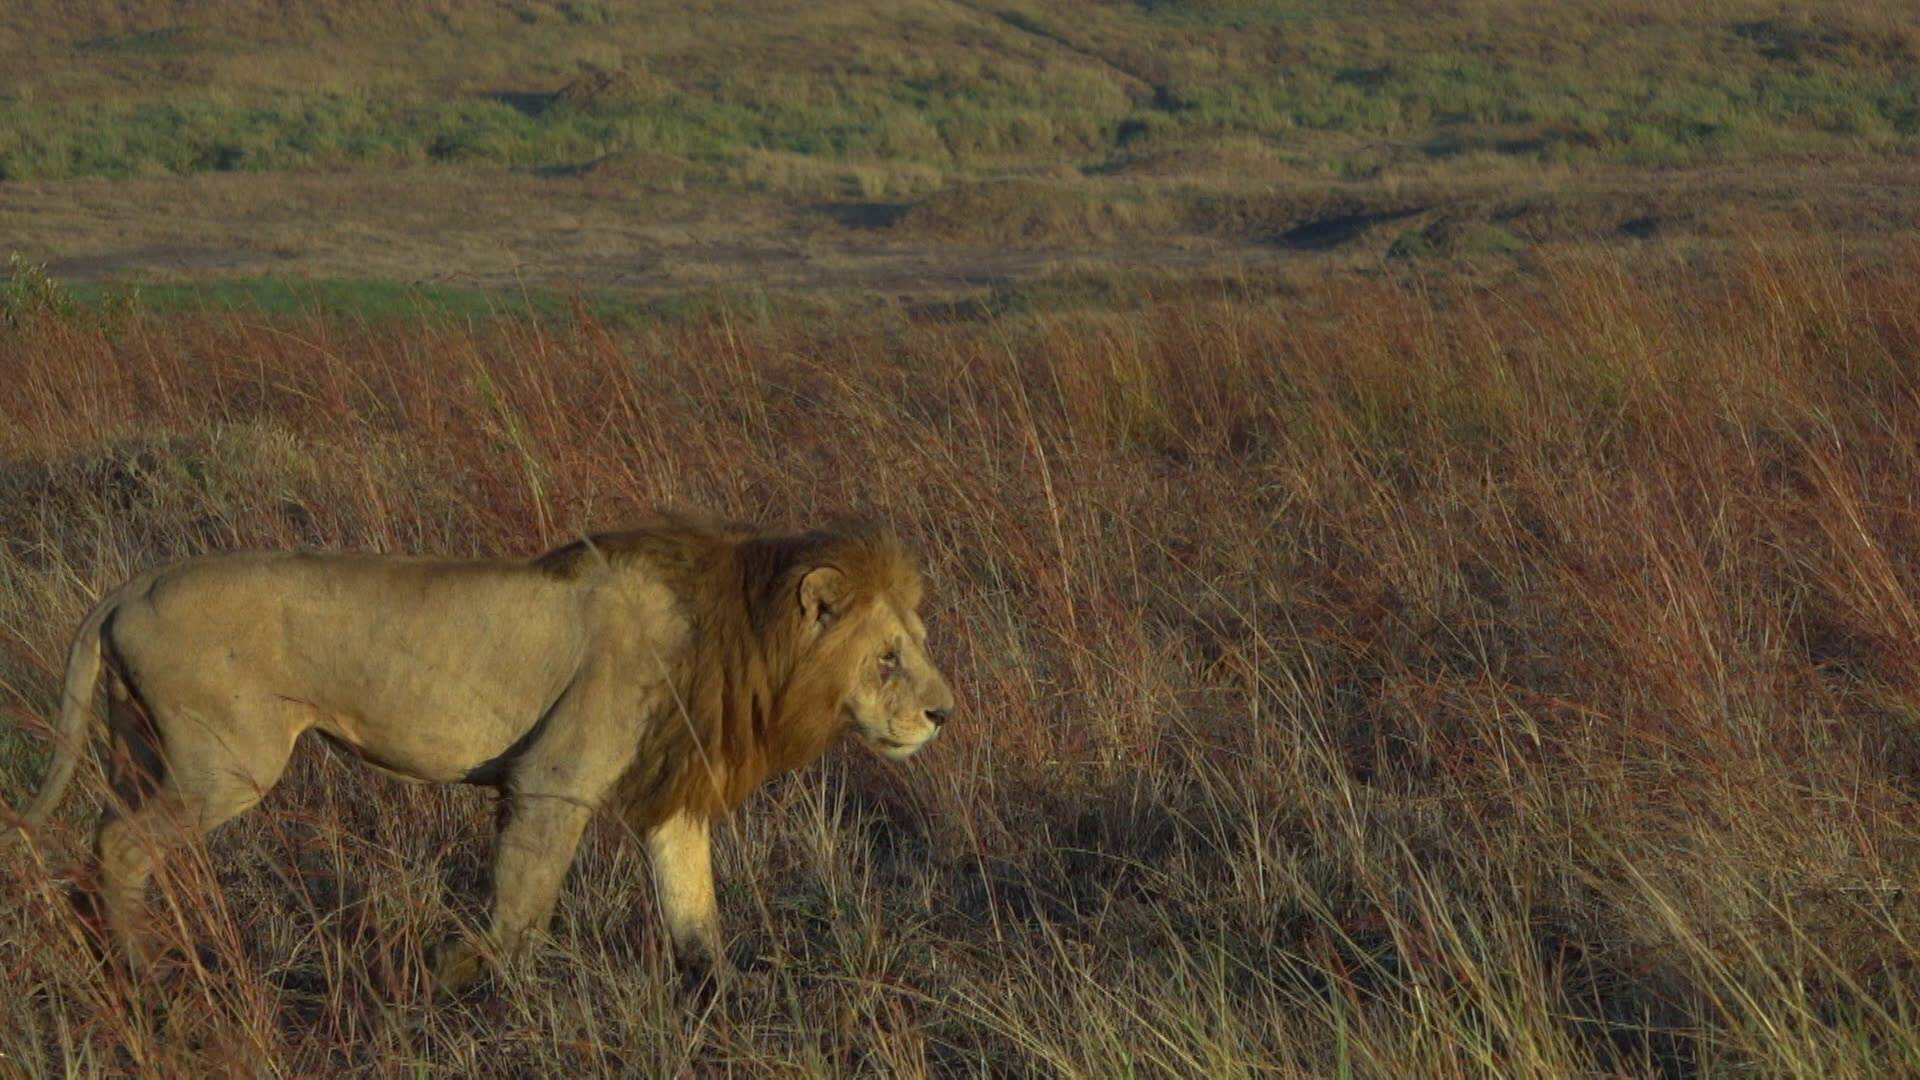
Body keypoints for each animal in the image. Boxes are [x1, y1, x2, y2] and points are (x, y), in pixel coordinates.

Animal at [5, 511, 952, 991]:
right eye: (887, 657)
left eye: (916, 642)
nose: (944, 713)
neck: (741, 638)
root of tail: (130, 586)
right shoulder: (552, 781)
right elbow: (520, 911)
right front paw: (452, 983)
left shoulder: (670, 798)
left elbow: (695, 919)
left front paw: (723, 1006)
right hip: (226, 764)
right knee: (122, 846)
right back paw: (142, 972)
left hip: (141, 751)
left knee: (104, 835)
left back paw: (107, 951)